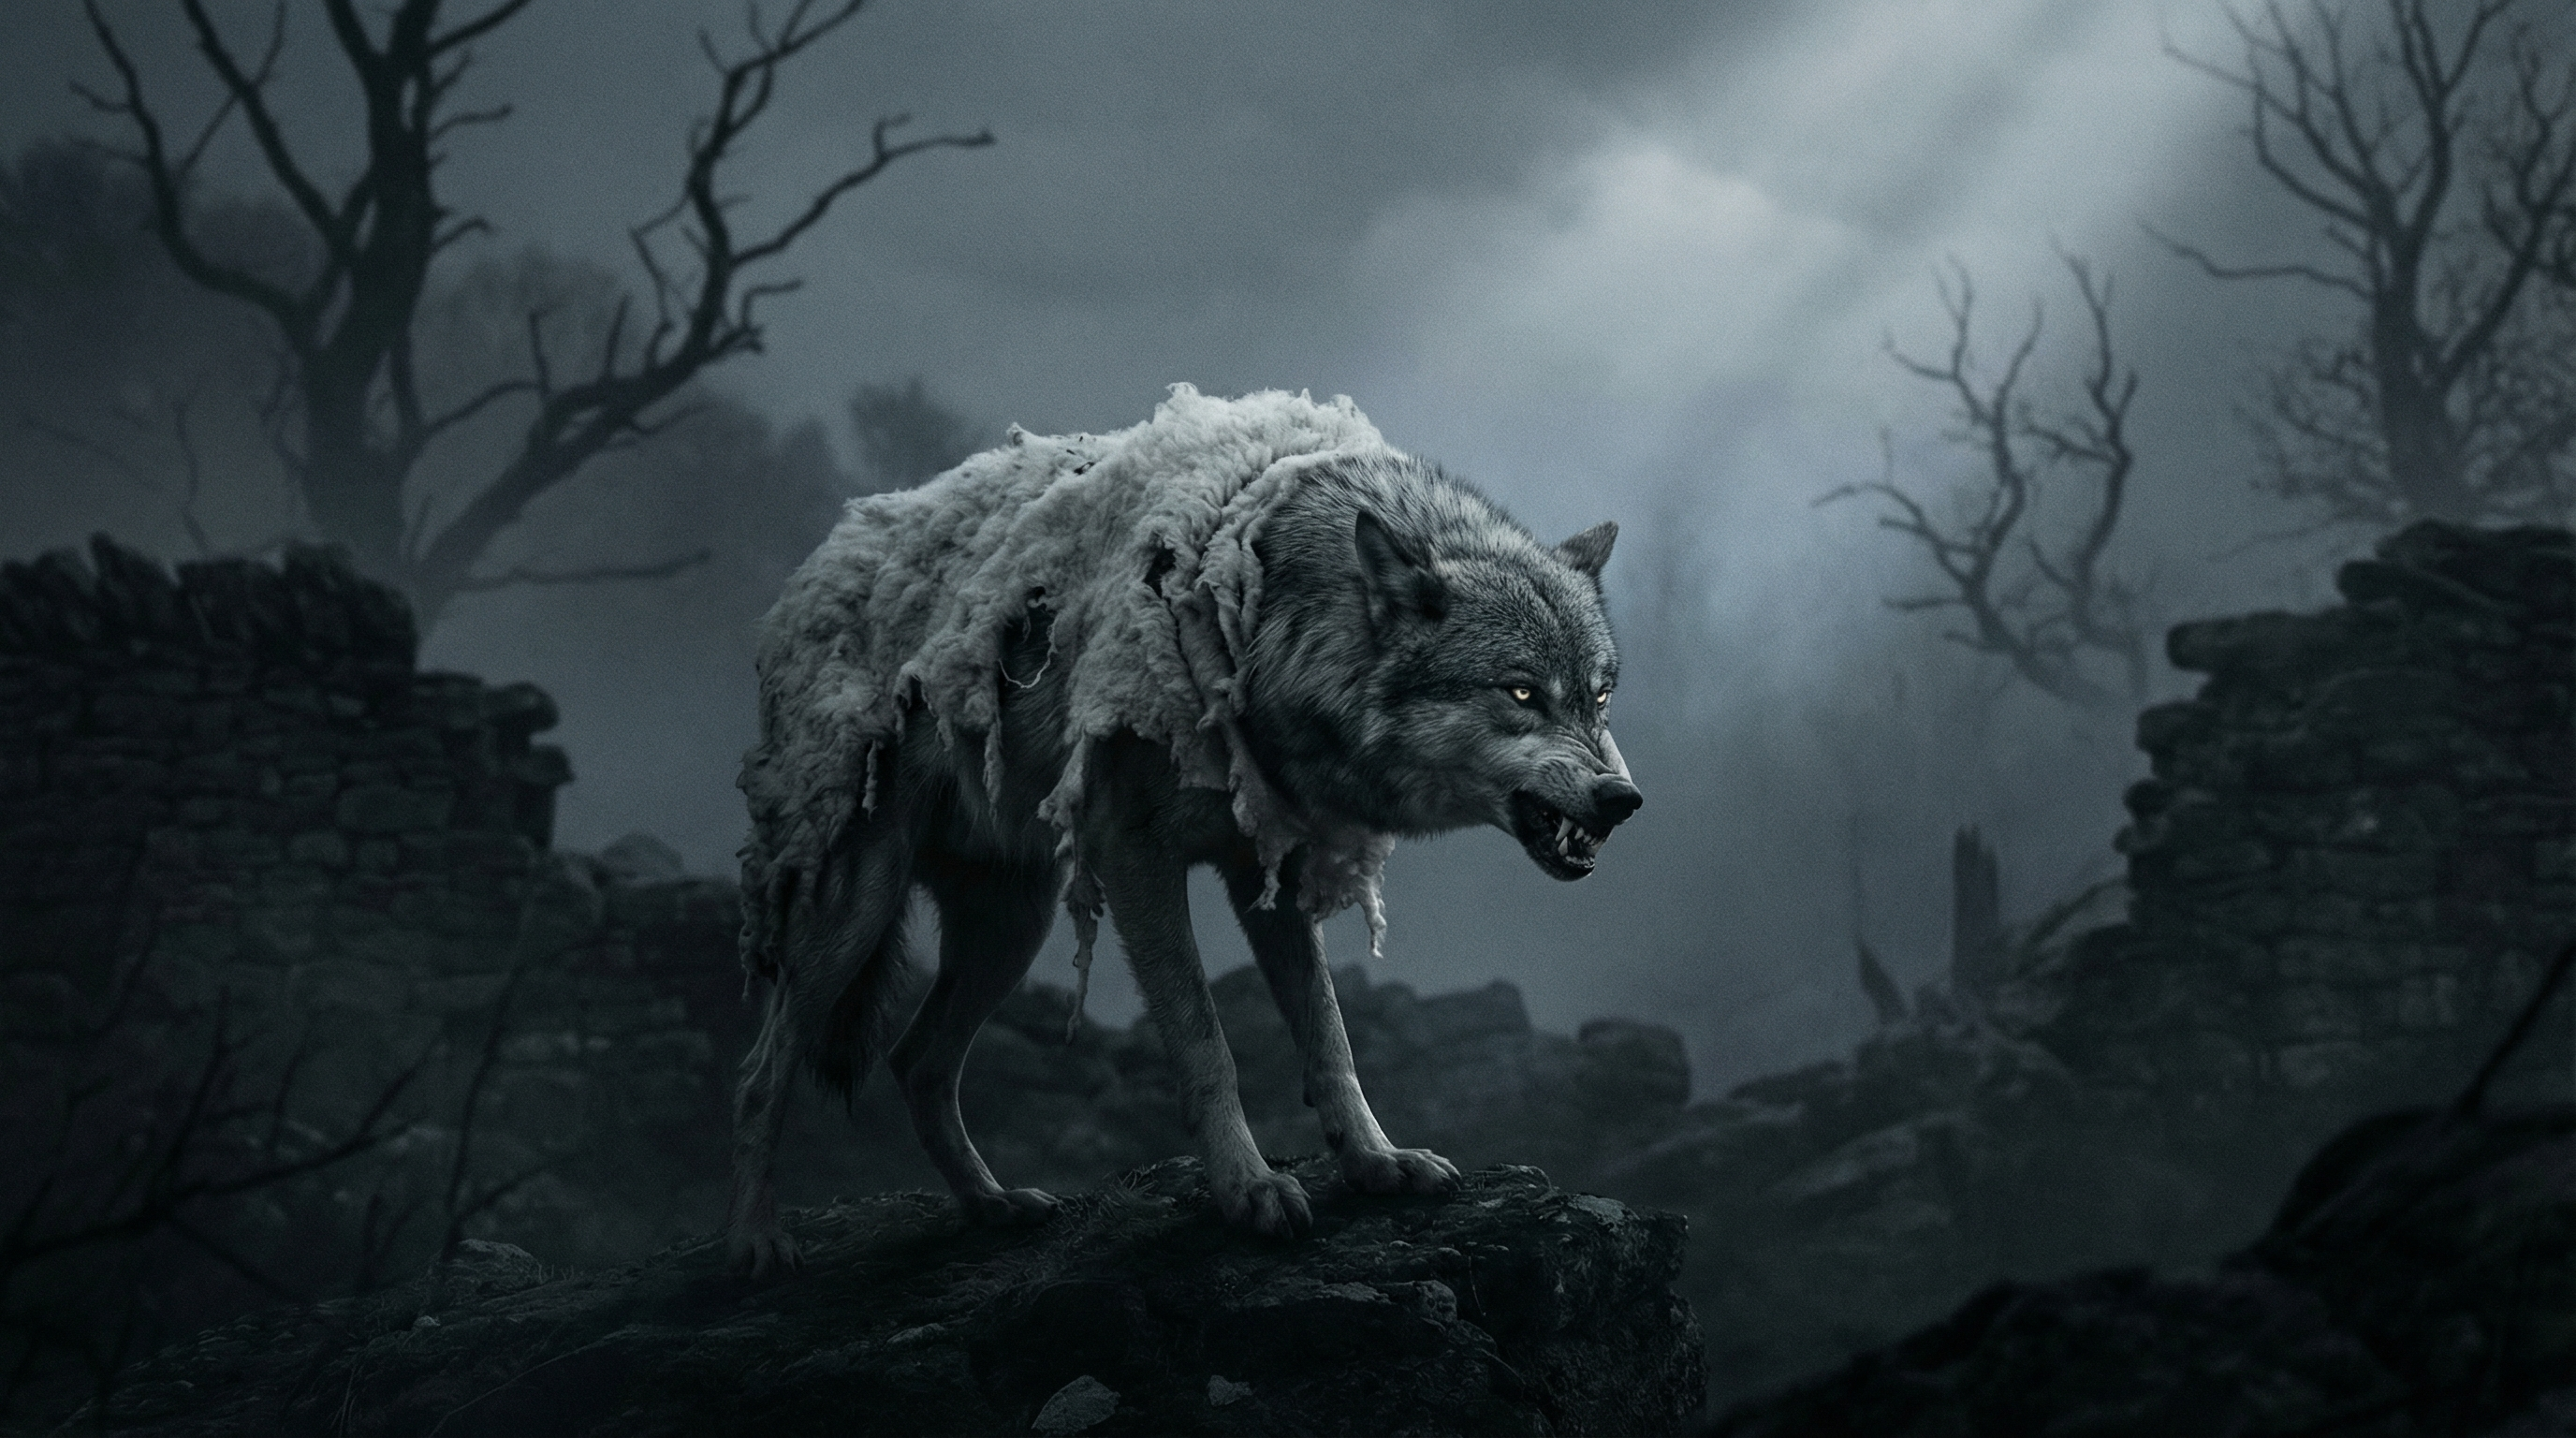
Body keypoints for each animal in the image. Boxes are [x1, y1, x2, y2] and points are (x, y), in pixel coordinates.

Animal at [727, 387, 1641, 1273]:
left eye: (1598, 697)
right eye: (1521, 693)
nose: (1622, 798)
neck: (1264, 627)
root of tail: (818, 566)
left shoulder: (1271, 869)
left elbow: (1330, 1035)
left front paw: (1375, 1161)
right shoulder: (1136, 860)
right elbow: (1208, 1046)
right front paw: (1249, 1189)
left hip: (1012, 928)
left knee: (916, 1063)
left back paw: (992, 1205)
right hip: (857, 915)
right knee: (764, 1072)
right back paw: (760, 1242)